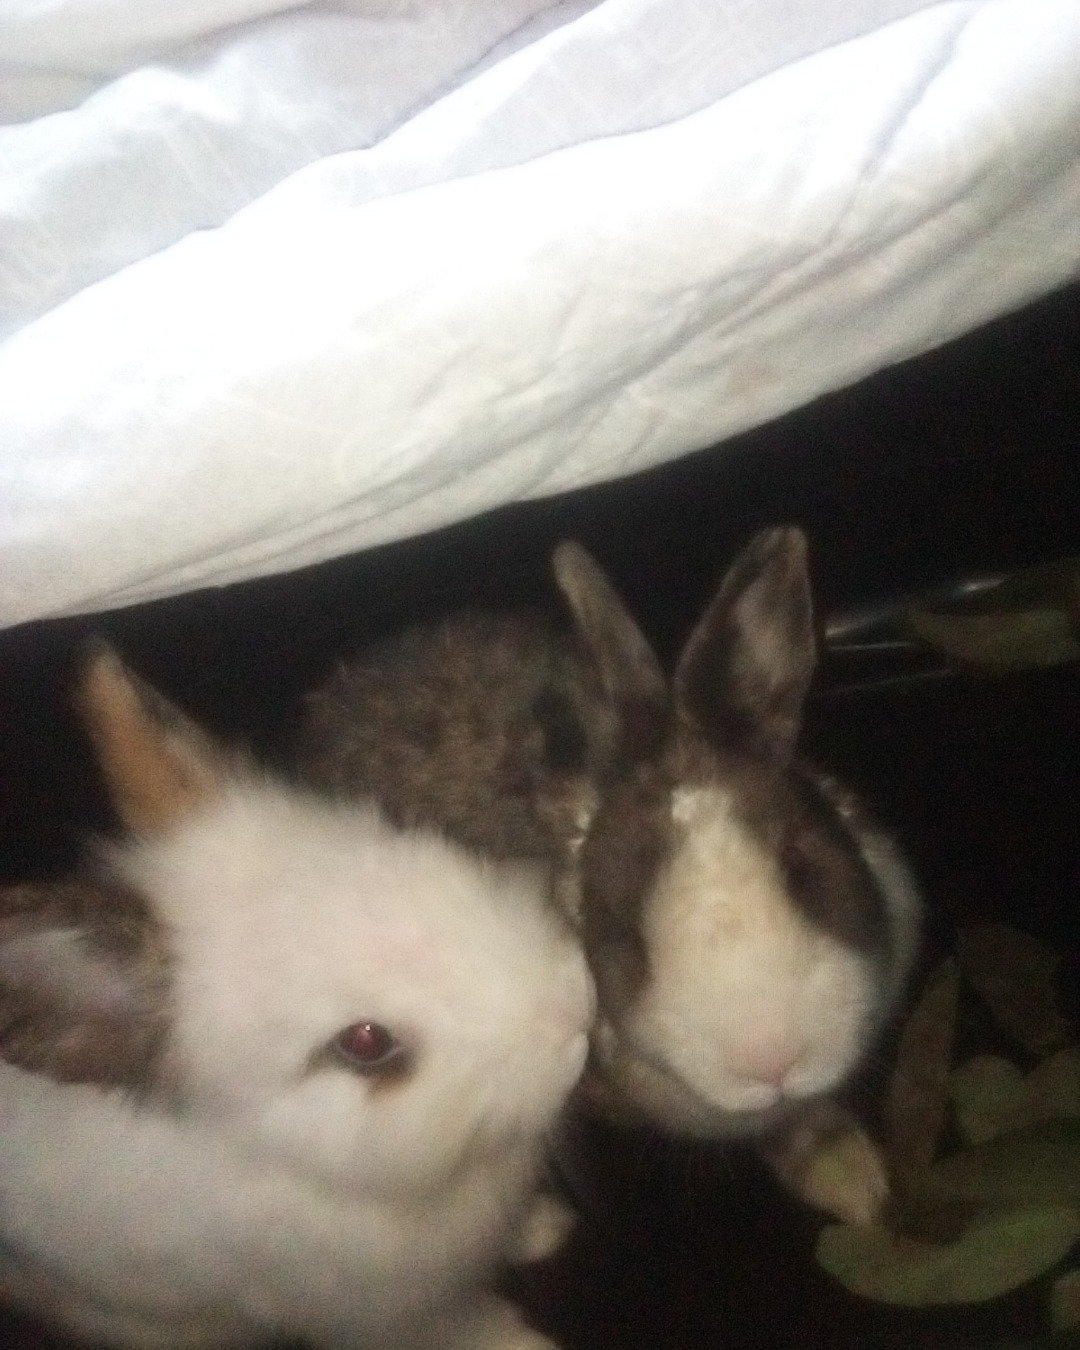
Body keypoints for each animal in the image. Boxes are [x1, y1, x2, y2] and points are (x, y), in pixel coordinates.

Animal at [0, 645, 594, 1350]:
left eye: (405, 833)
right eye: (365, 1043)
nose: (576, 1011)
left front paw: (544, 1225)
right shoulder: (371, 1312)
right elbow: (450, 1323)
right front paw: (515, 1339)